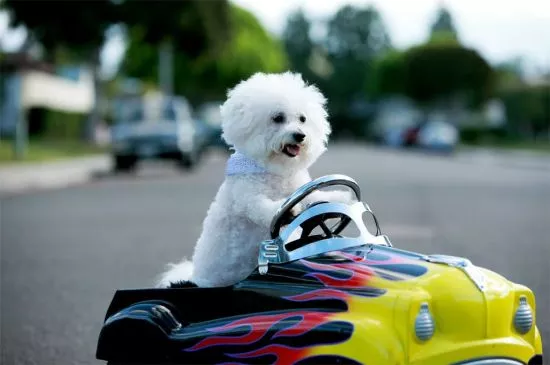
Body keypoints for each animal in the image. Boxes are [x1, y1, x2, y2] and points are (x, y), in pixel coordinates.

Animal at [155, 71, 354, 288]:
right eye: (278, 118)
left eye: (303, 119)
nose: (300, 135)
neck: (274, 170)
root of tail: (193, 275)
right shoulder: (247, 197)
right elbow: (260, 207)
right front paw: (289, 211)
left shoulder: (299, 190)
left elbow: (316, 197)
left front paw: (342, 198)